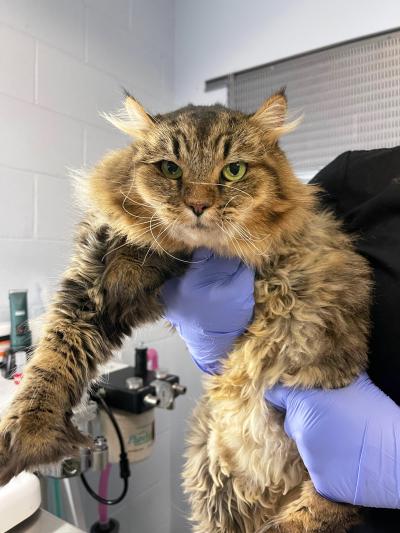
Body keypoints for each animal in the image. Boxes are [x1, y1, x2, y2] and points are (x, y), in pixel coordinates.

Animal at [0, 89, 368, 528]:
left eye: (234, 171)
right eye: (170, 169)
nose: (198, 205)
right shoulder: (91, 289)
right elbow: (51, 365)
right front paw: (27, 437)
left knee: (325, 506)